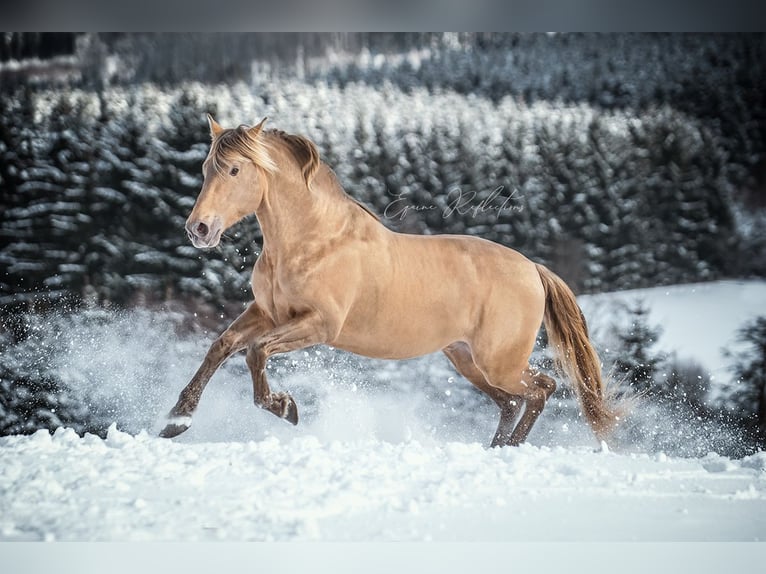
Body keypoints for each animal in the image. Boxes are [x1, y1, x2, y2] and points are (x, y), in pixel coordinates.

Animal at [159, 116, 620, 450]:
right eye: (205, 168)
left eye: (235, 169)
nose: (198, 229)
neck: (315, 240)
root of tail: (532, 269)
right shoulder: (267, 313)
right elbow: (222, 346)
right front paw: (176, 421)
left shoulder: (319, 325)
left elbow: (256, 352)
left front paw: (285, 407)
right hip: (467, 359)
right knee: (512, 401)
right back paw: (495, 448)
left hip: (499, 362)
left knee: (542, 389)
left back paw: (510, 449)